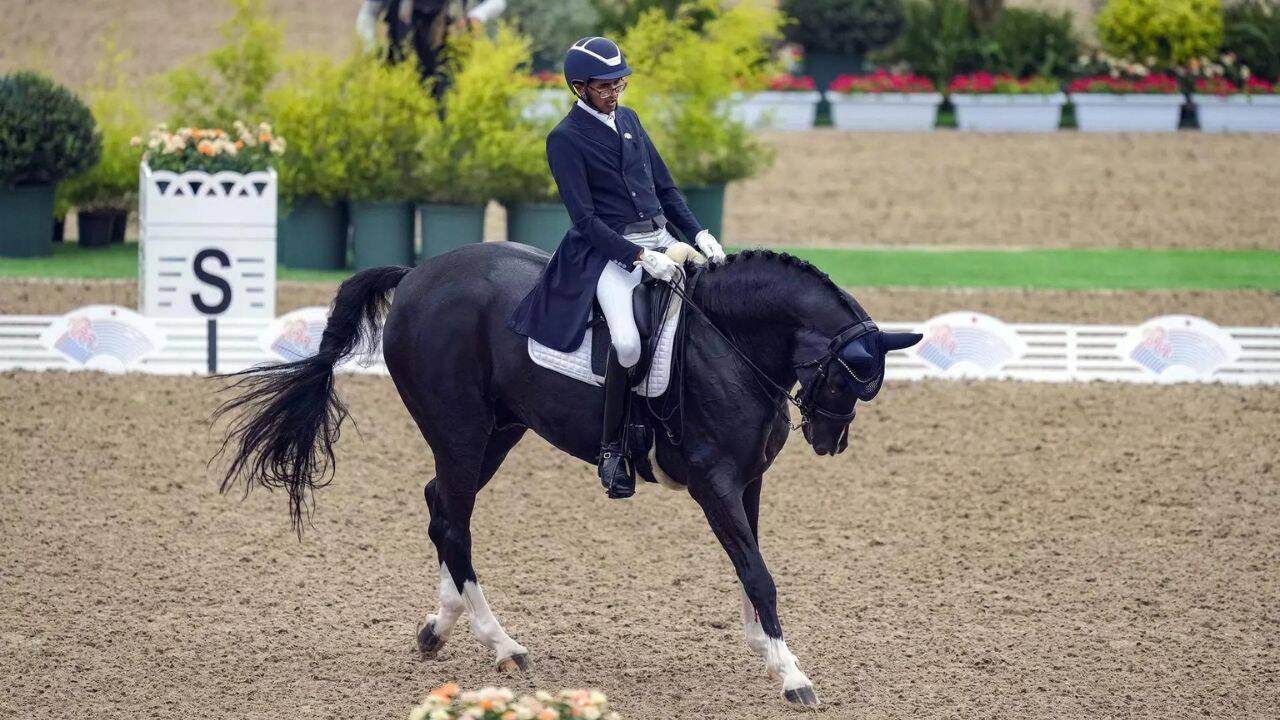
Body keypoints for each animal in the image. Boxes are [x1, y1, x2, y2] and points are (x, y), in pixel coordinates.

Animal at [215, 242, 922, 707]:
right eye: (847, 379)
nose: (829, 441)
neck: (727, 340)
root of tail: (419, 273)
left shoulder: (749, 481)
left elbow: (752, 566)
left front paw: (764, 647)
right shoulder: (714, 481)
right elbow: (756, 569)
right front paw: (790, 673)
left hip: (499, 431)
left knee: (443, 509)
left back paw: (440, 627)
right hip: (460, 429)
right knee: (454, 520)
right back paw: (502, 644)